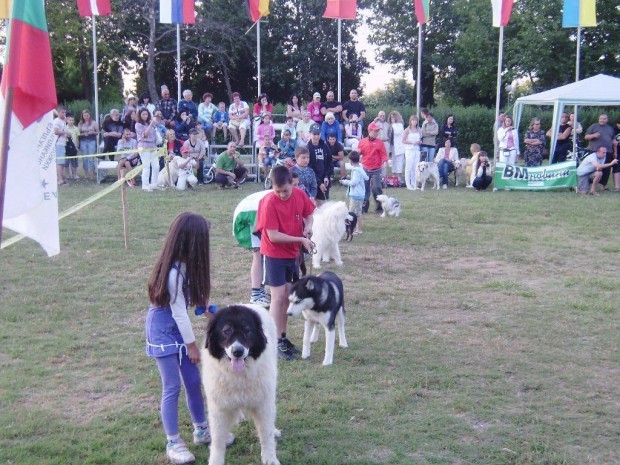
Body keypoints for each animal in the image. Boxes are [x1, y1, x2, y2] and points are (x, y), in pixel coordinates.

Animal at [203, 304, 280, 464]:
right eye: (226, 331)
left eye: (247, 330)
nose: (238, 352)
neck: (238, 376)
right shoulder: (218, 409)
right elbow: (218, 440)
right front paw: (216, 461)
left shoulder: (264, 404)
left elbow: (266, 433)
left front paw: (270, 458)